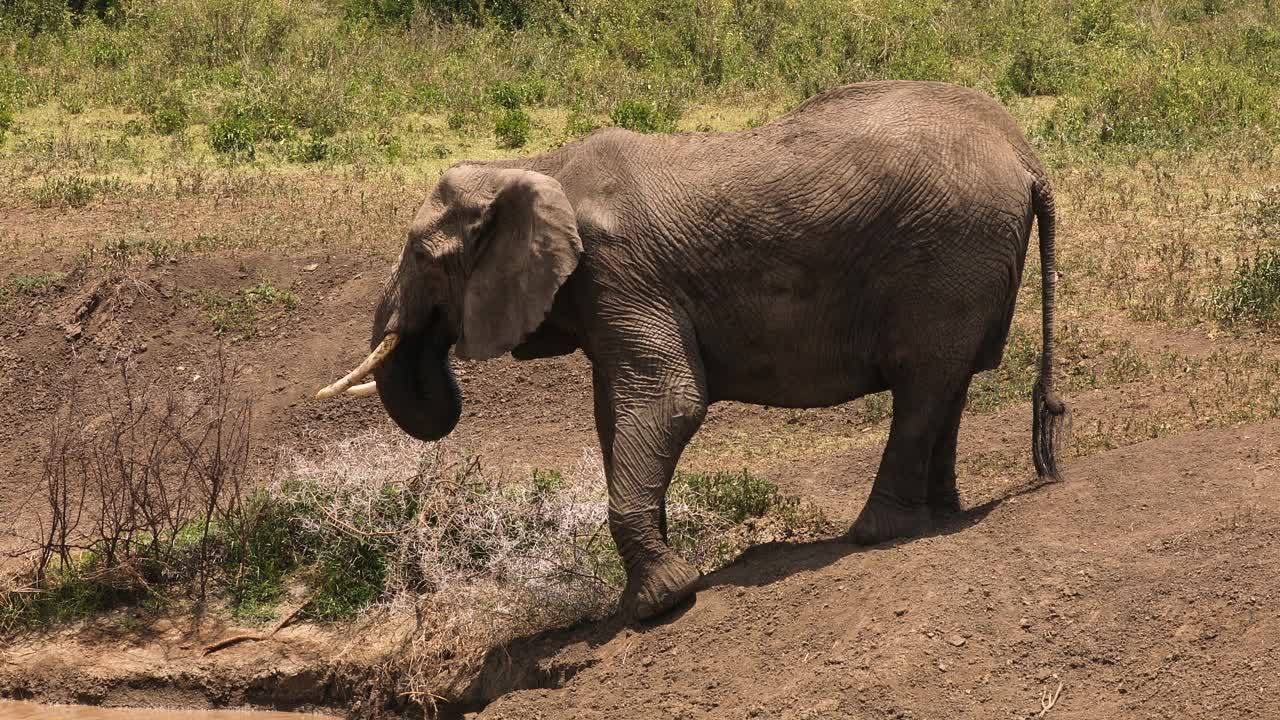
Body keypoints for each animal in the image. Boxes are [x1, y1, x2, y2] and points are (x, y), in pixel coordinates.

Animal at [314, 77, 1064, 617]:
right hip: (969, 261)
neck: (534, 166)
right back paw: (940, 516)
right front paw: (649, 589)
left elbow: (669, 401)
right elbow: (617, 417)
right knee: (947, 383)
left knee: (923, 384)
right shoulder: (607, 296)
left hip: (947, 253)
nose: (435, 341)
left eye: (422, 254)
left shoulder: (620, 274)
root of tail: (1026, 156)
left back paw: (876, 534)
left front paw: (660, 604)